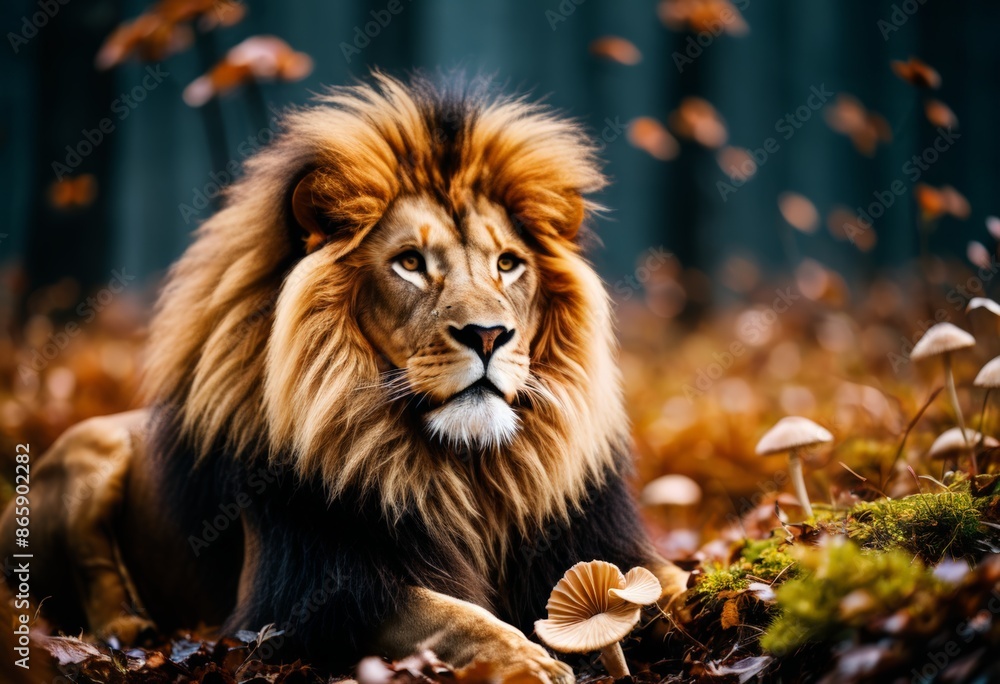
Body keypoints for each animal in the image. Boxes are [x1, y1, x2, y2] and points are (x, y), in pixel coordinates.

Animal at [1, 73, 687, 681]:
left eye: (509, 264)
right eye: (409, 262)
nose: (490, 335)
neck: (468, 473)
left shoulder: (600, 545)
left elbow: (668, 585)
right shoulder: (300, 600)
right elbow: (451, 615)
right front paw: (531, 662)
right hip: (91, 446)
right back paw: (129, 630)